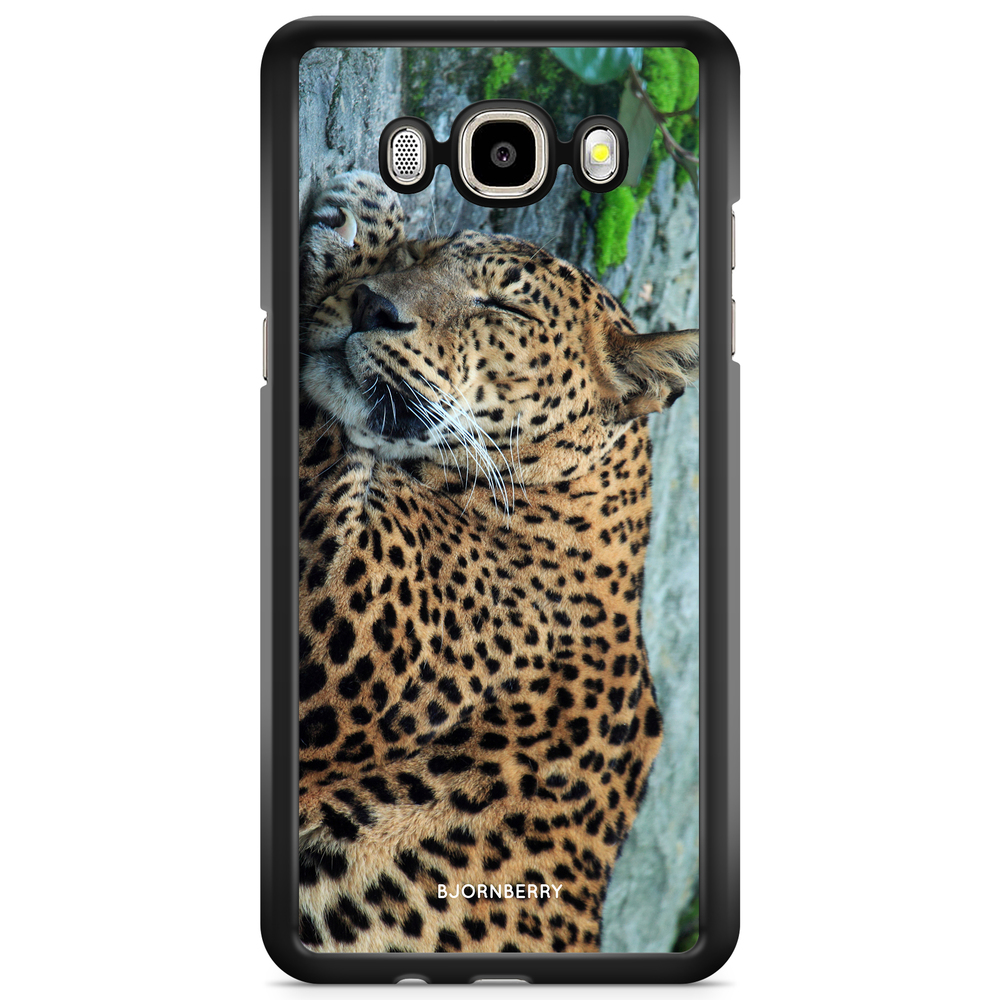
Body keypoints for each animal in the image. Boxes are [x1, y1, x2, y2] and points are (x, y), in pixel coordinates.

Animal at [296, 171, 698, 953]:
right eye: (426, 255)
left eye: (503, 306)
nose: (372, 305)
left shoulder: (346, 609)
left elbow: (318, 433)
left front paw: (357, 220)